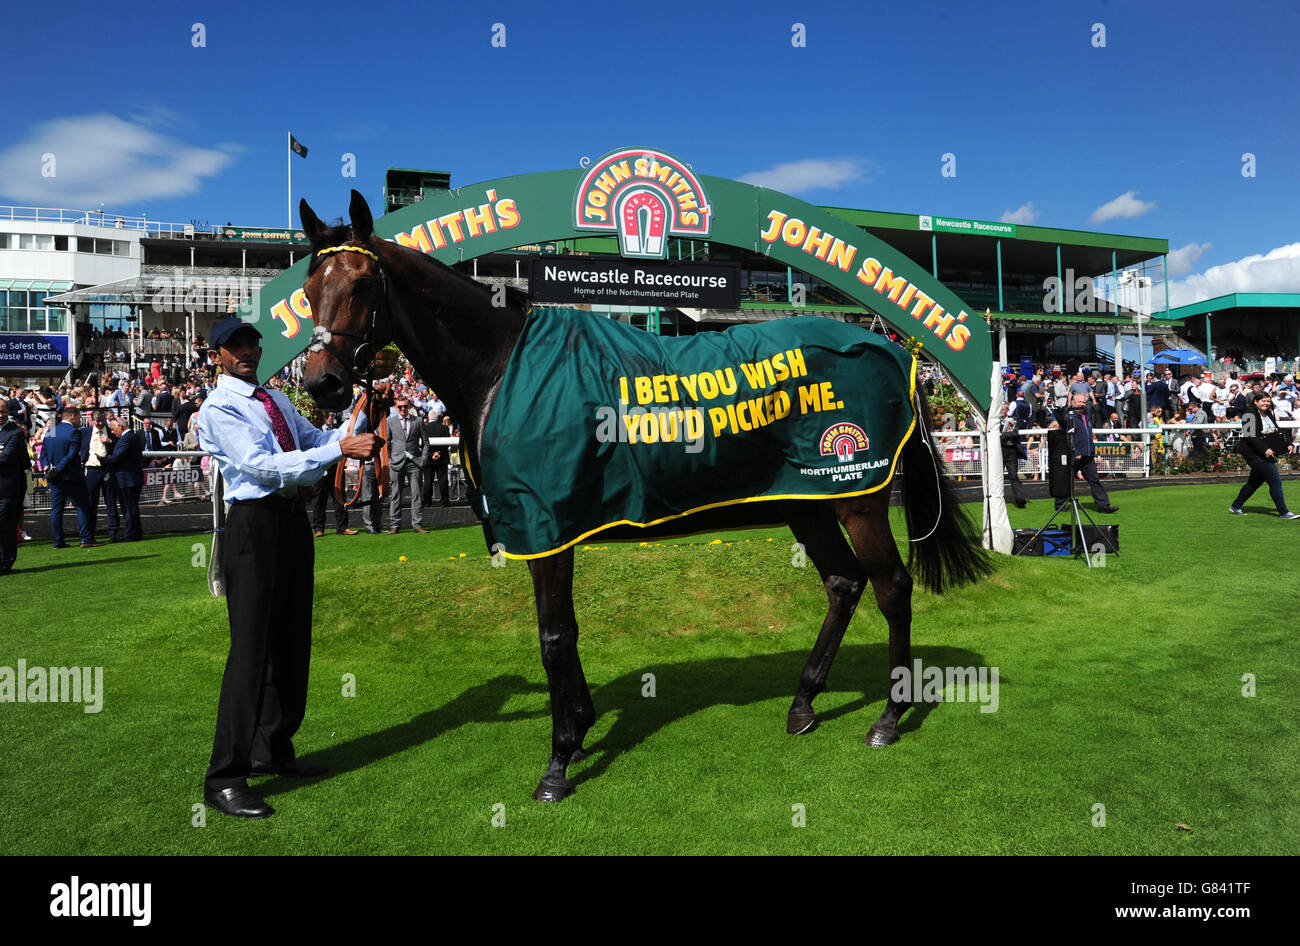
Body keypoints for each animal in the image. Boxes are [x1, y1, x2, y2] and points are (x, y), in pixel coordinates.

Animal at [297, 188, 982, 800]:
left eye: (362, 285)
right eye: (308, 288)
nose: (323, 383)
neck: (501, 367)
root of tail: (892, 349)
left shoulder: (545, 528)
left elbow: (553, 637)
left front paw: (557, 764)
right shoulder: (552, 529)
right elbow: (567, 631)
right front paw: (580, 728)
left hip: (856, 491)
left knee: (892, 587)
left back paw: (888, 717)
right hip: (803, 500)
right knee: (844, 582)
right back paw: (804, 702)